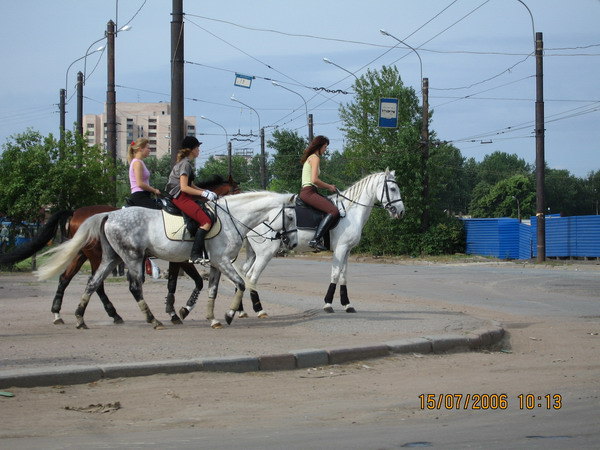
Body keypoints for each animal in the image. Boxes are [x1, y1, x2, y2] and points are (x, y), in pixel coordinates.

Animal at [0, 174, 239, 326]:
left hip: (83, 255)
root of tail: (77, 212)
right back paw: (114, 314)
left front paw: (174, 311)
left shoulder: (176, 260)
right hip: (97, 256)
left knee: (67, 279)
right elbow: (195, 282)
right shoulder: (182, 260)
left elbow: (174, 283)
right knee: (98, 285)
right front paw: (179, 311)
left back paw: (60, 314)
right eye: (237, 189)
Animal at [37, 192, 298, 328]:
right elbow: (241, 284)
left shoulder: (215, 264)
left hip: (110, 258)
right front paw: (229, 315)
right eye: (291, 216)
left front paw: (212, 318)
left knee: (92, 283)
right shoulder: (222, 261)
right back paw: (152, 320)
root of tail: (109, 214)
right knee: (133, 287)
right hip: (131, 258)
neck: (230, 218)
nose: (292, 243)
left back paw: (80, 318)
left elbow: (211, 290)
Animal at [238, 171, 404, 314]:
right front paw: (328, 304)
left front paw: (347, 304)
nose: (401, 211)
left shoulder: (347, 251)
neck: (350, 213)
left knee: (243, 275)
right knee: (252, 277)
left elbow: (343, 276)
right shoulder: (341, 249)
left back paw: (240, 310)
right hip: (265, 254)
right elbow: (335, 274)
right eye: (393, 188)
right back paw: (258, 309)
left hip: (253, 253)